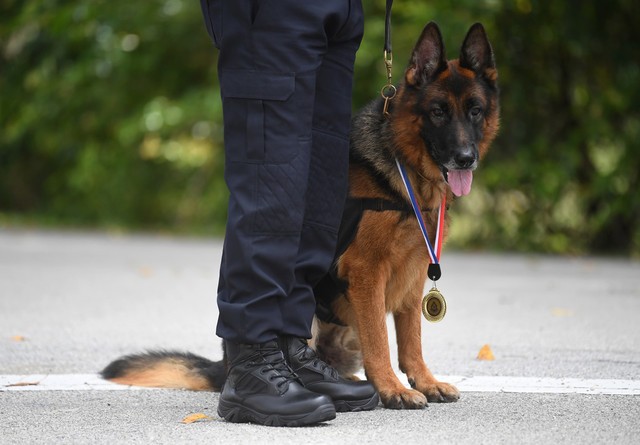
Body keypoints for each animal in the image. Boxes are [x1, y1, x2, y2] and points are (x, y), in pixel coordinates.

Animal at [102, 22, 498, 408]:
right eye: (438, 112)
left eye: (475, 111)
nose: (466, 159)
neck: (402, 171)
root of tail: (224, 367)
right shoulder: (367, 272)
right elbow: (381, 340)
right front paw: (392, 388)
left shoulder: (413, 277)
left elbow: (411, 339)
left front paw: (425, 382)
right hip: (305, 315)